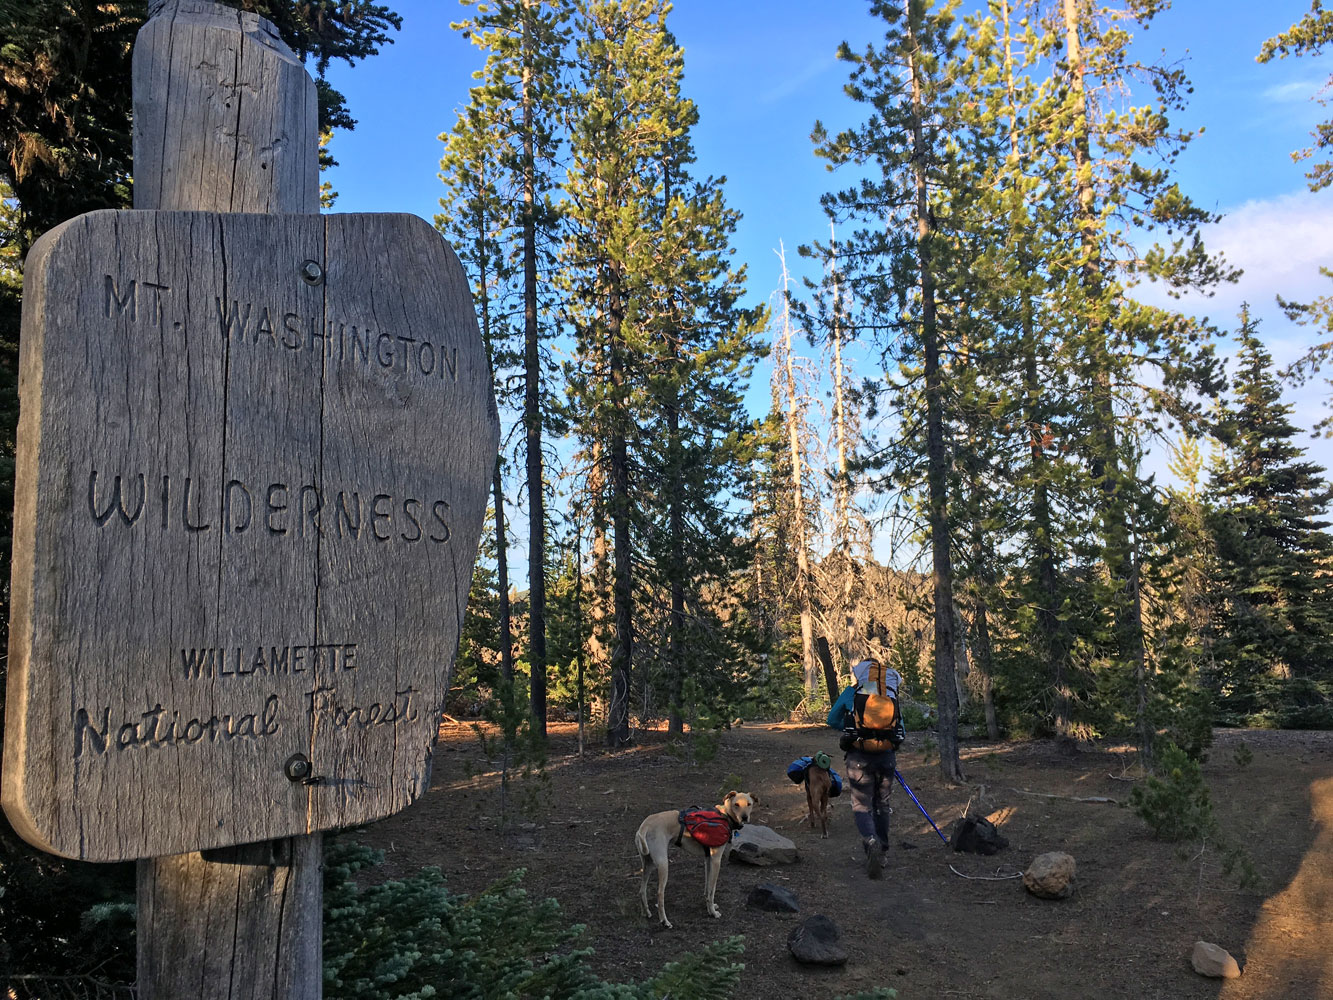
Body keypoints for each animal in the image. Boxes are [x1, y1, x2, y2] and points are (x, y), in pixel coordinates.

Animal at [634, 790, 757, 929]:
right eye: (736, 804)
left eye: (749, 804)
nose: (744, 817)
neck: (725, 815)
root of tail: (645, 826)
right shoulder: (716, 860)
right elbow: (712, 890)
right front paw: (713, 913)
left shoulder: (708, 860)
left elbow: (707, 888)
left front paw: (710, 908)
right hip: (663, 864)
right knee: (660, 894)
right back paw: (665, 921)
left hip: (647, 864)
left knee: (641, 890)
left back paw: (645, 912)